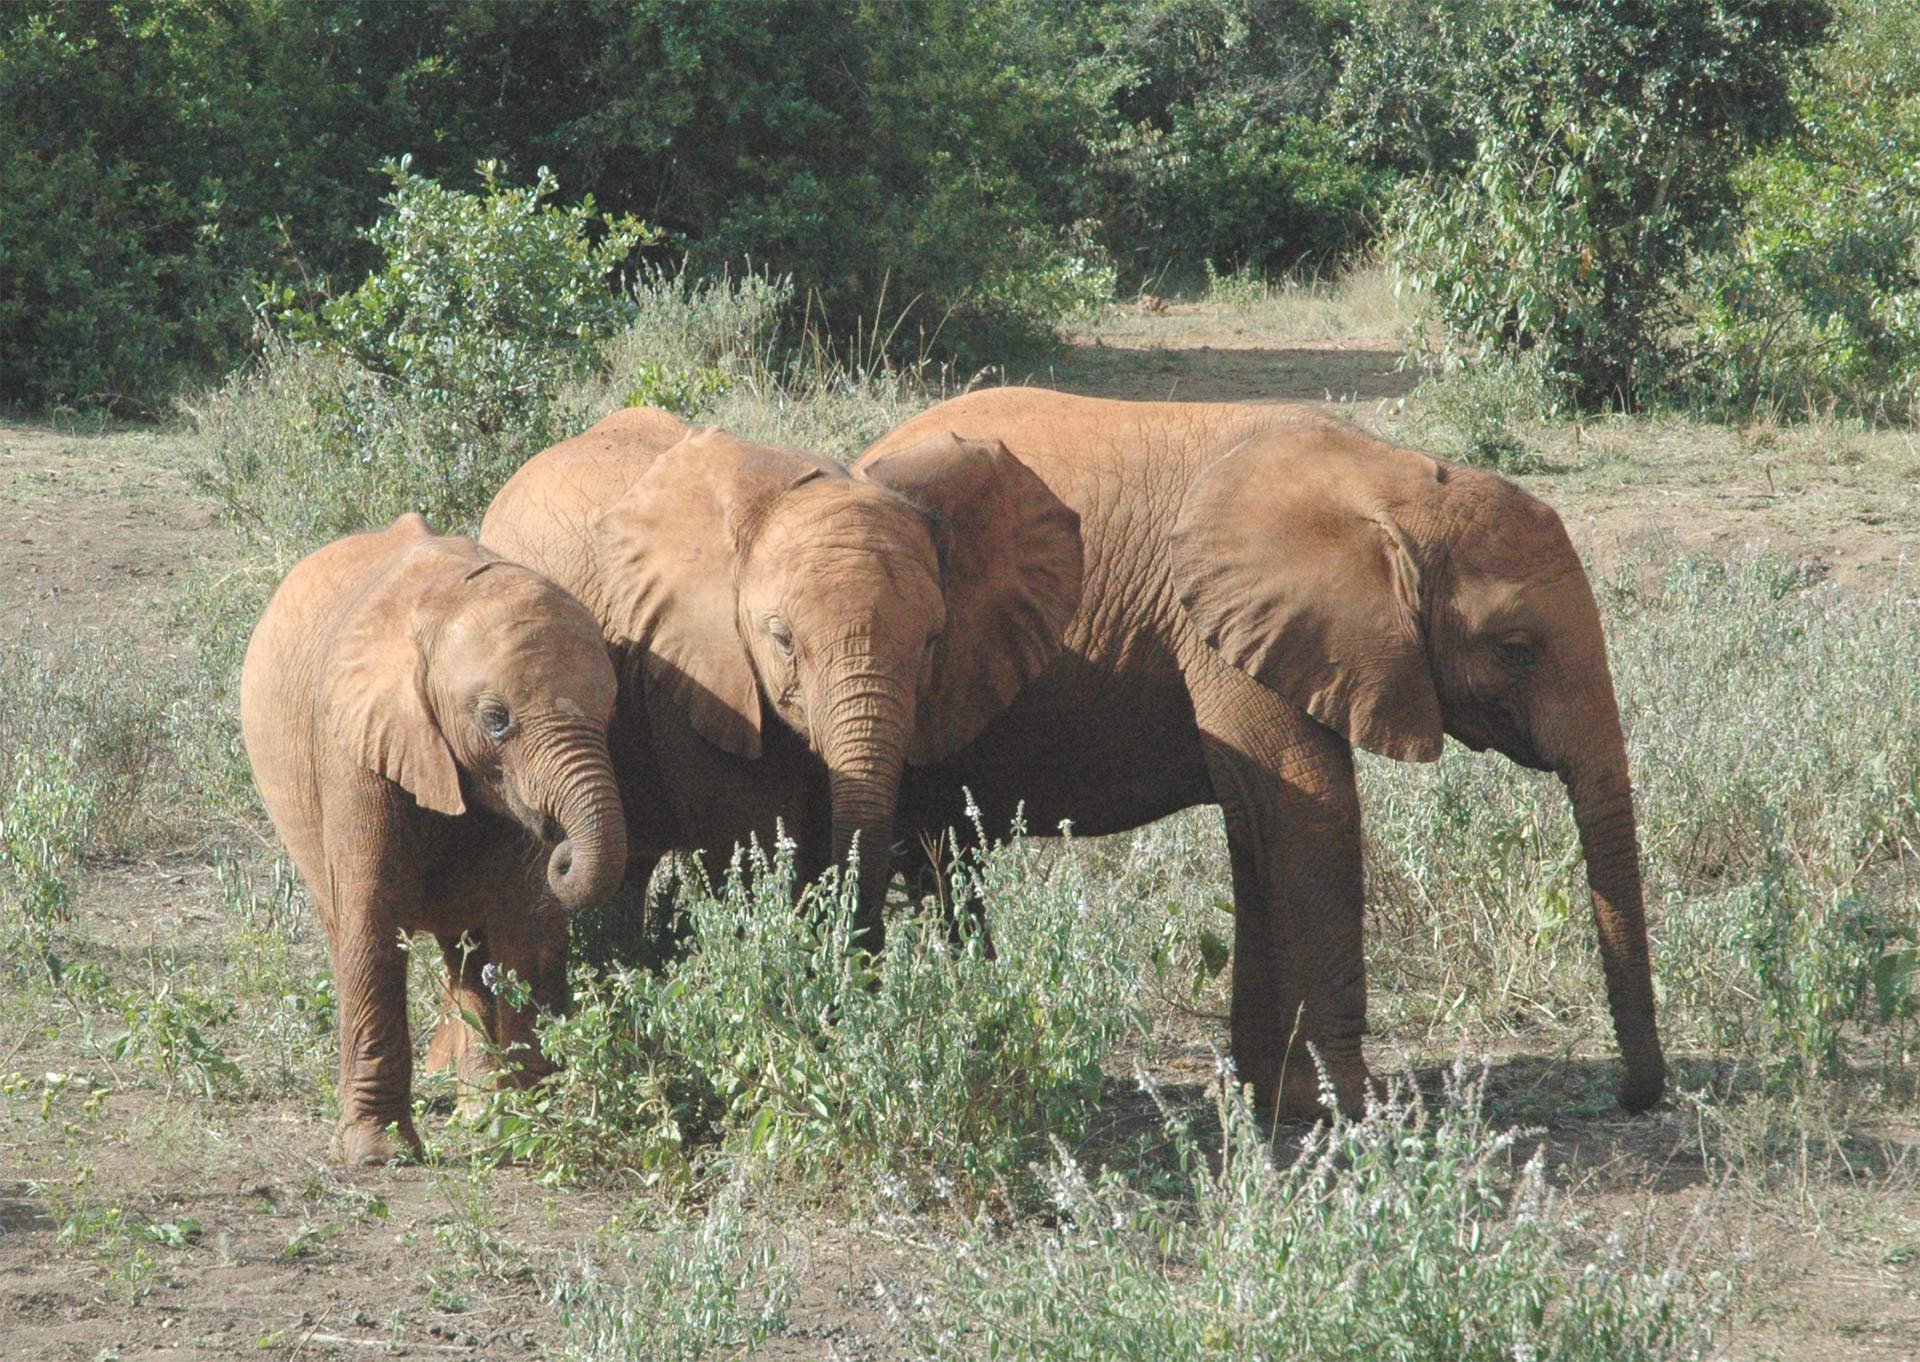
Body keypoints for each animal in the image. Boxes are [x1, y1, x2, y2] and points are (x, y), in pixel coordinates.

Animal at [239, 510, 629, 1160]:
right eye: (496, 721)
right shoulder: (355, 743)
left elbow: (520, 919)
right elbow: (371, 915)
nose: (561, 848)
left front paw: (521, 1133)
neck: (448, 605)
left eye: (608, 715)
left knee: (466, 951)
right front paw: (376, 1155)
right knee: (346, 920)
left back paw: (478, 1113)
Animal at [864, 388, 1674, 1121]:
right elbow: (1306, 806)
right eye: (1517, 651)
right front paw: (1356, 1110)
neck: (1392, 481)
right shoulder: (1228, 622)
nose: (1633, 1099)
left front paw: (1275, 1101)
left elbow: (1261, 830)